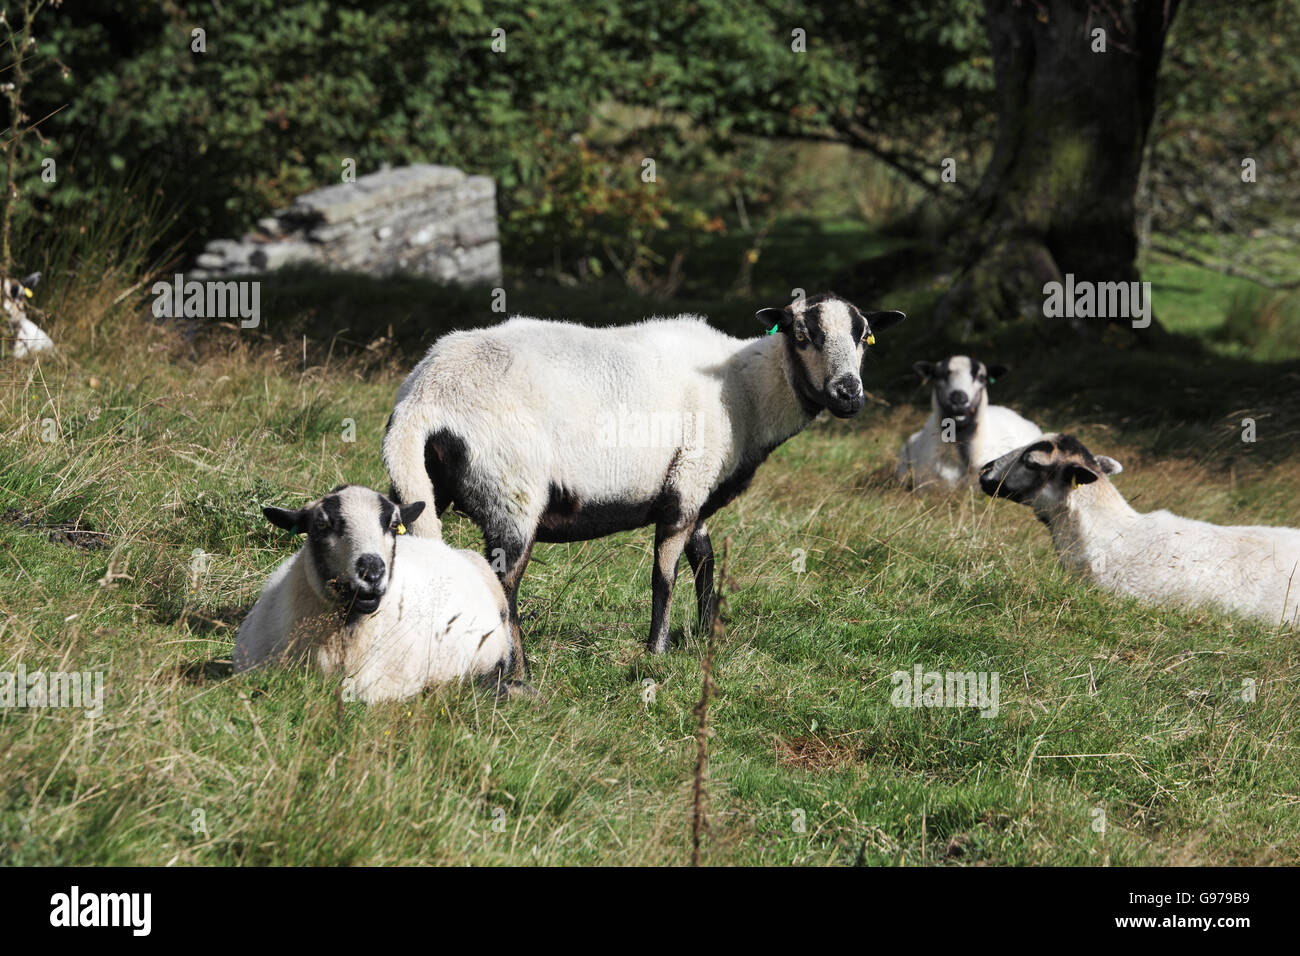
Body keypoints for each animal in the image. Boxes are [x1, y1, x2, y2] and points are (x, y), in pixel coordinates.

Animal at [379, 291, 904, 671]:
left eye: (865, 336)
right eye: (801, 334)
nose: (849, 395)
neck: (746, 392)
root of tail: (421, 398)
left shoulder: (696, 494)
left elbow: (704, 561)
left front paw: (707, 635)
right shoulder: (687, 483)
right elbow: (664, 575)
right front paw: (657, 651)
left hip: (422, 487)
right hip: (513, 491)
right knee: (504, 583)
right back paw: (519, 674)